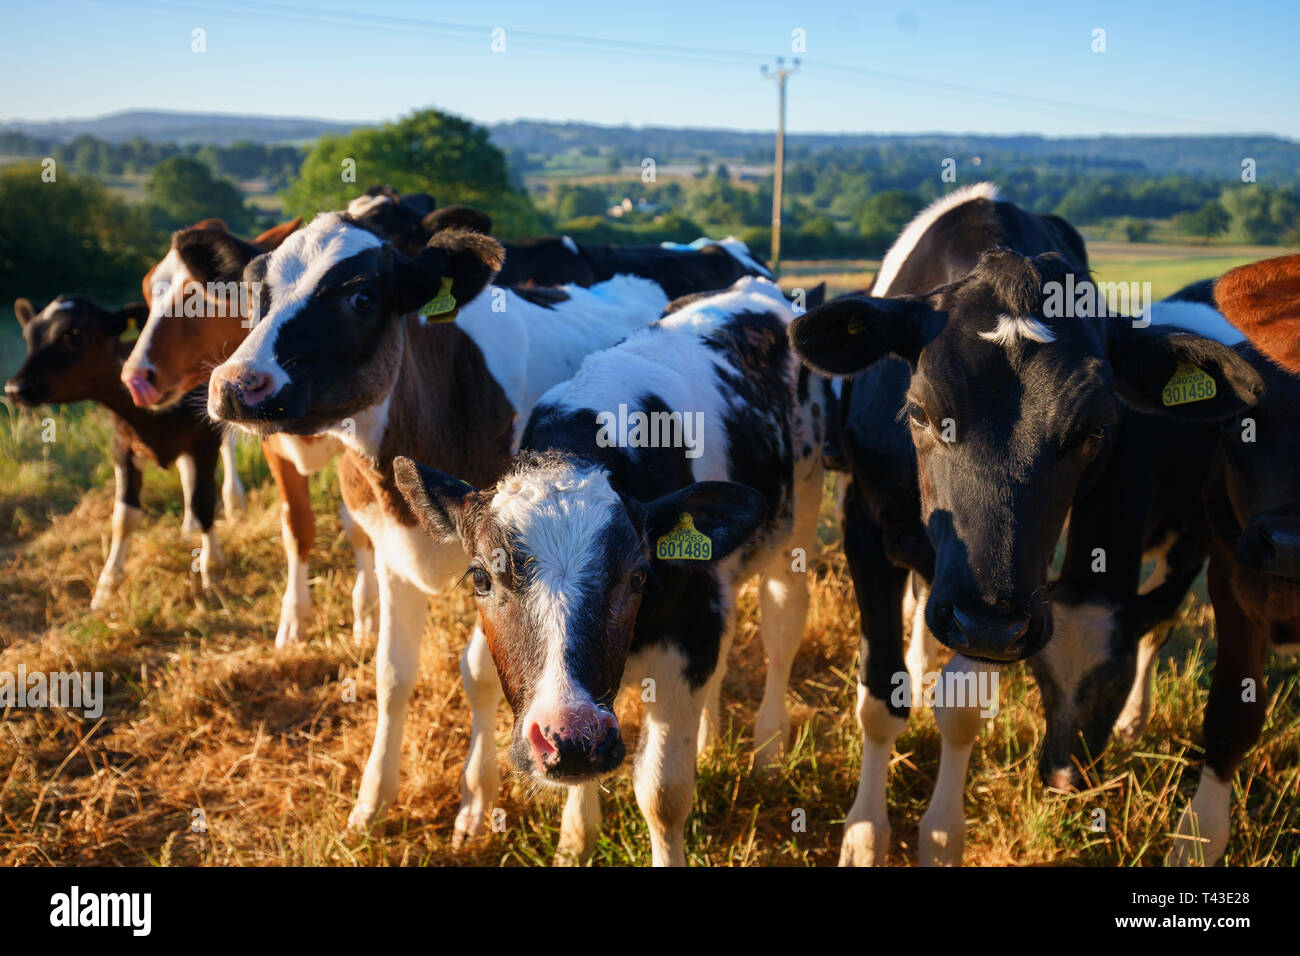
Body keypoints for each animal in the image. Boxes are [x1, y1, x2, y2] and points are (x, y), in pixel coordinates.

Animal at [5, 295, 226, 608]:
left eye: (73, 334)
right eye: (29, 336)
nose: (15, 388)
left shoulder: (206, 439)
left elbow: (204, 502)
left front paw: (213, 574)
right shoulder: (123, 446)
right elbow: (124, 517)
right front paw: (106, 587)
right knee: (186, 473)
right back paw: (188, 528)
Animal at [118, 216, 379, 648]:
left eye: (198, 295)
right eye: (147, 295)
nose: (136, 377)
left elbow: (359, 524)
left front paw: (367, 611)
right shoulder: (274, 444)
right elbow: (297, 526)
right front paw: (294, 617)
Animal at [203, 212, 678, 844]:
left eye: (361, 297)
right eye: (254, 292)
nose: (235, 384)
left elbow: (479, 674)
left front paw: (475, 802)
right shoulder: (390, 549)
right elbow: (391, 673)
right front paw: (372, 799)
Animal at [392, 275, 826, 865]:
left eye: (639, 575)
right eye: (481, 576)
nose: (567, 737)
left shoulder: (687, 635)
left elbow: (663, 794)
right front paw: (575, 842)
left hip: (797, 525)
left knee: (782, 631)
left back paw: (769, 755)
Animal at [789, 182, 1263, 865]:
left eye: (1095, 428)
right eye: (919, 411)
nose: (985, 623)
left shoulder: (1011, 592)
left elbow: (962, 708)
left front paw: (941, 836)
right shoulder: (867, 526)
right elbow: (880, 697)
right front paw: (864, 834)